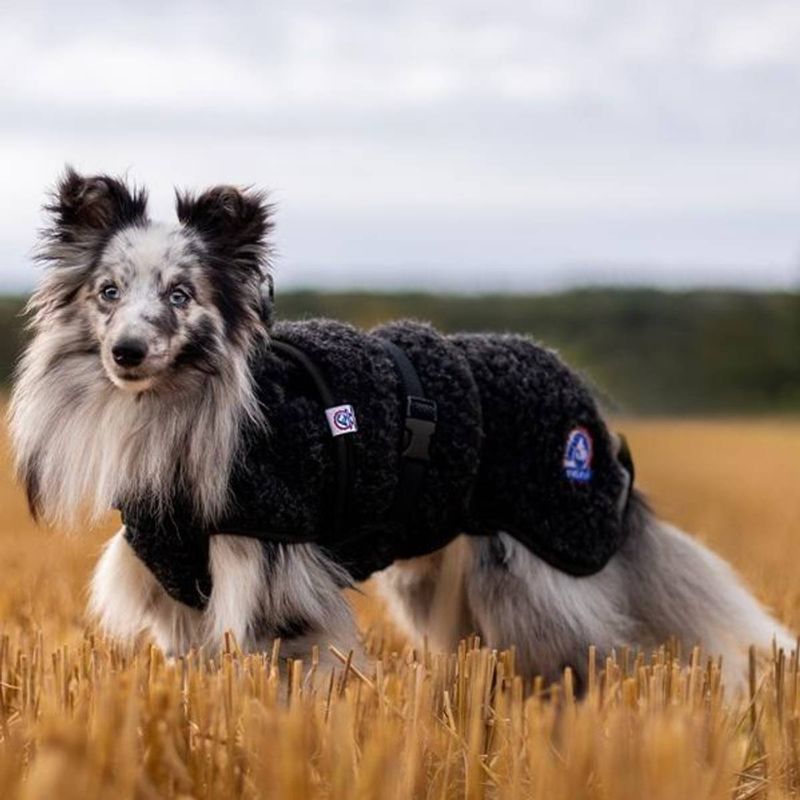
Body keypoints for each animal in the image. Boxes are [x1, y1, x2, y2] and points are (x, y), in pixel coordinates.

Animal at [7, 169, 792, 688]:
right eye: (109, 293)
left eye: (179, 295)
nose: (127, 353)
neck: (175, 408)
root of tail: (584, 402)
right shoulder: (176, 594)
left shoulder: (269, 580)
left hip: (537, 570)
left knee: (600, 656)